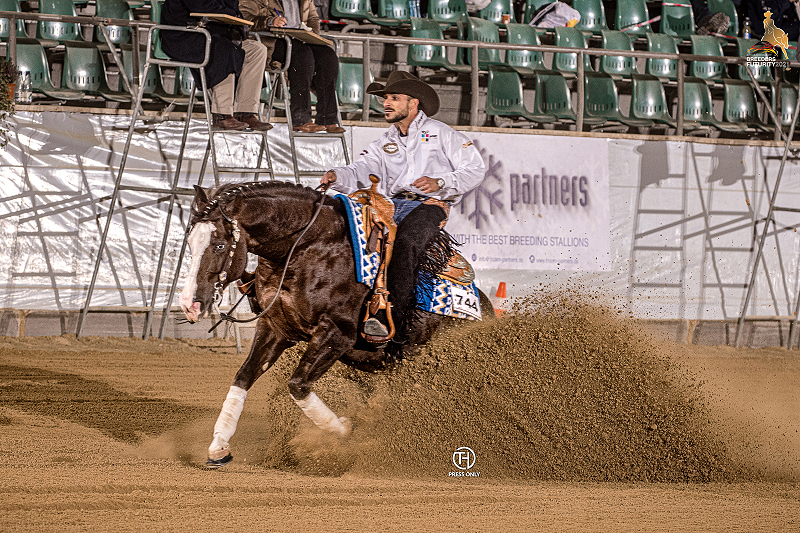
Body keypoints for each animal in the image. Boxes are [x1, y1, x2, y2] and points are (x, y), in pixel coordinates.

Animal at [180, 179, 494, 466]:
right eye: (190, 243)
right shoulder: (275, 328)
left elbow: (297, 385)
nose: (189, 305)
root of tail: (485, 307)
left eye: (219, 244)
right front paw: (219, 447)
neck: (307, 248)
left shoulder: (336, 334)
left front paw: (343, 431)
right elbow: (243, 378)